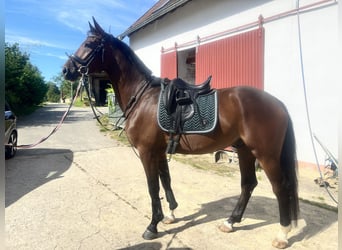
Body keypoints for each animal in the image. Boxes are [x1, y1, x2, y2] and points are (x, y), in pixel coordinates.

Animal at [62, 18, 298, 248]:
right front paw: (171, 214)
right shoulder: (158, 151)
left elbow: (153, 187)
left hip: (265, 154)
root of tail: (278, 103)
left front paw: (152, 226)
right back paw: (230, 222)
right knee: (248, 184)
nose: (66, 70)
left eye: (89, 44)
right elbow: (165, 180)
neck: (143, 97)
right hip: (245, 150)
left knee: (280, 187)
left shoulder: (147, 152)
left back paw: (282, 234)